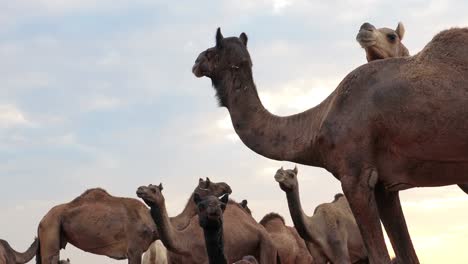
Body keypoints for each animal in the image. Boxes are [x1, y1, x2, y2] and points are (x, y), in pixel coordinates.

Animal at [192, 27, 468, 264]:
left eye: (212, 50)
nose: (196, 62)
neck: (317, 125)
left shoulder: (355, 176)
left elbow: (379, 255)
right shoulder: (385, 185)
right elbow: (407, 254)